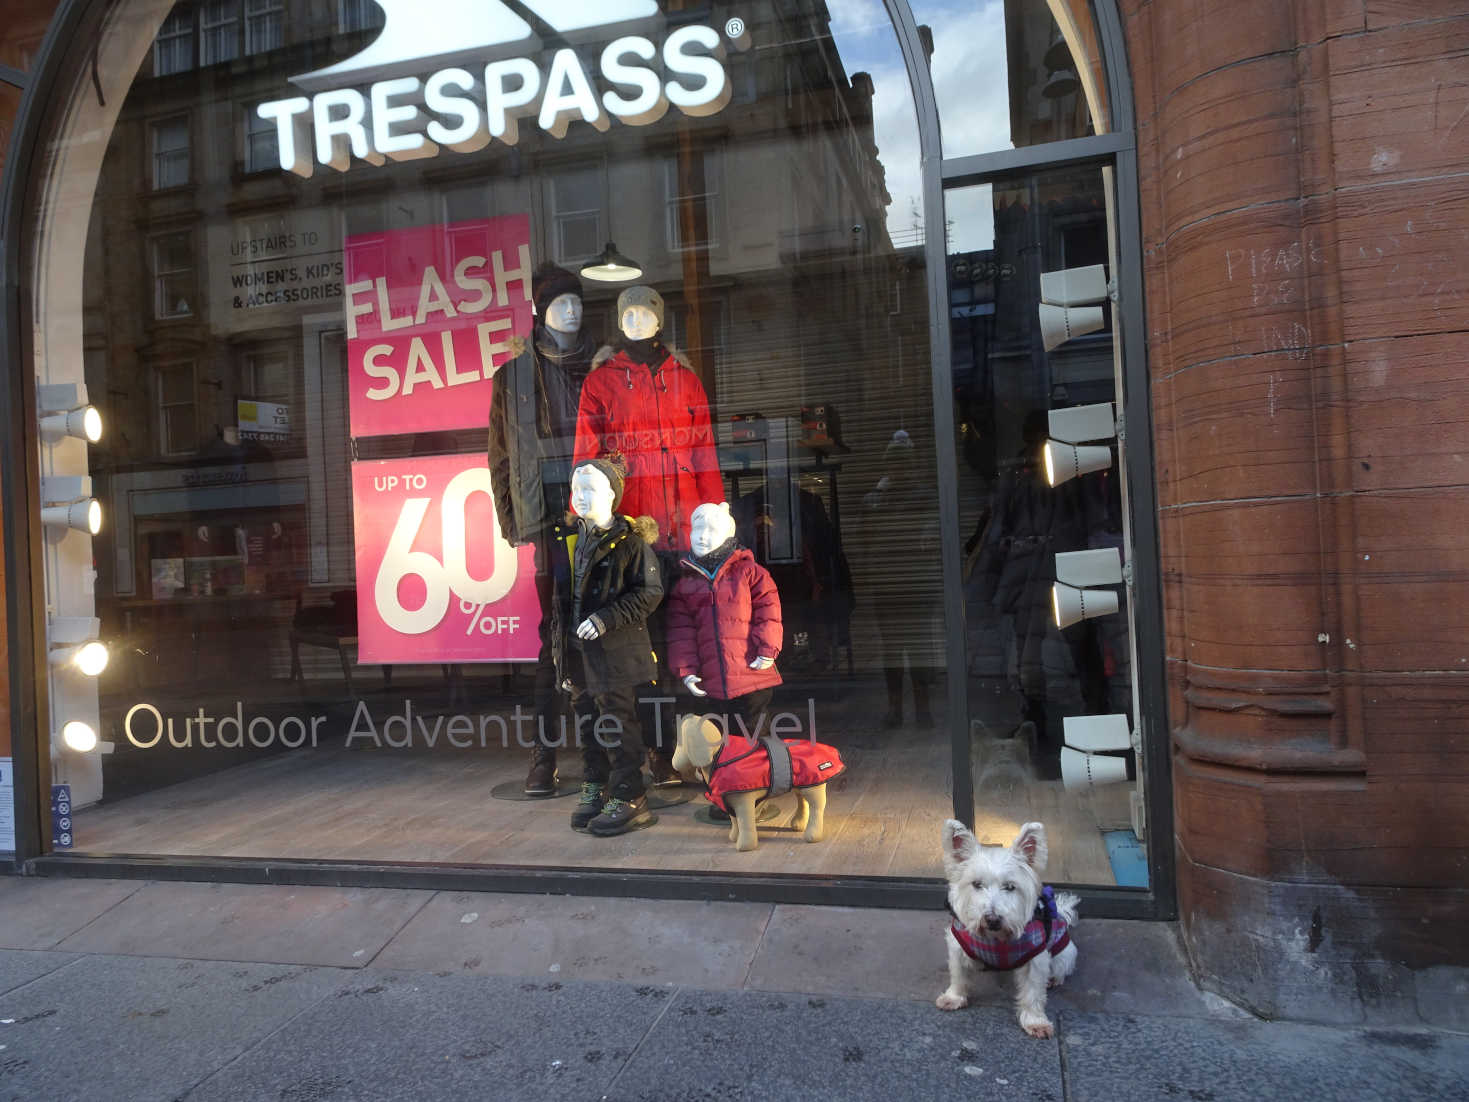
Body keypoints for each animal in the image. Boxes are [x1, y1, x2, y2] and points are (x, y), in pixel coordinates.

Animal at [940, 822, 1081, 1046]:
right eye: (976, 884)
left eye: (1010, 887)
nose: (992, 919)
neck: (996, 940)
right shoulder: (958, 945)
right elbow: (958, 975)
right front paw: (953, 998)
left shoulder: (1035, 958)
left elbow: (1033, 992)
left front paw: (1035, 1022)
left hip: (1064, 955)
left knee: (1060, 969)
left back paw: (1053, 979)